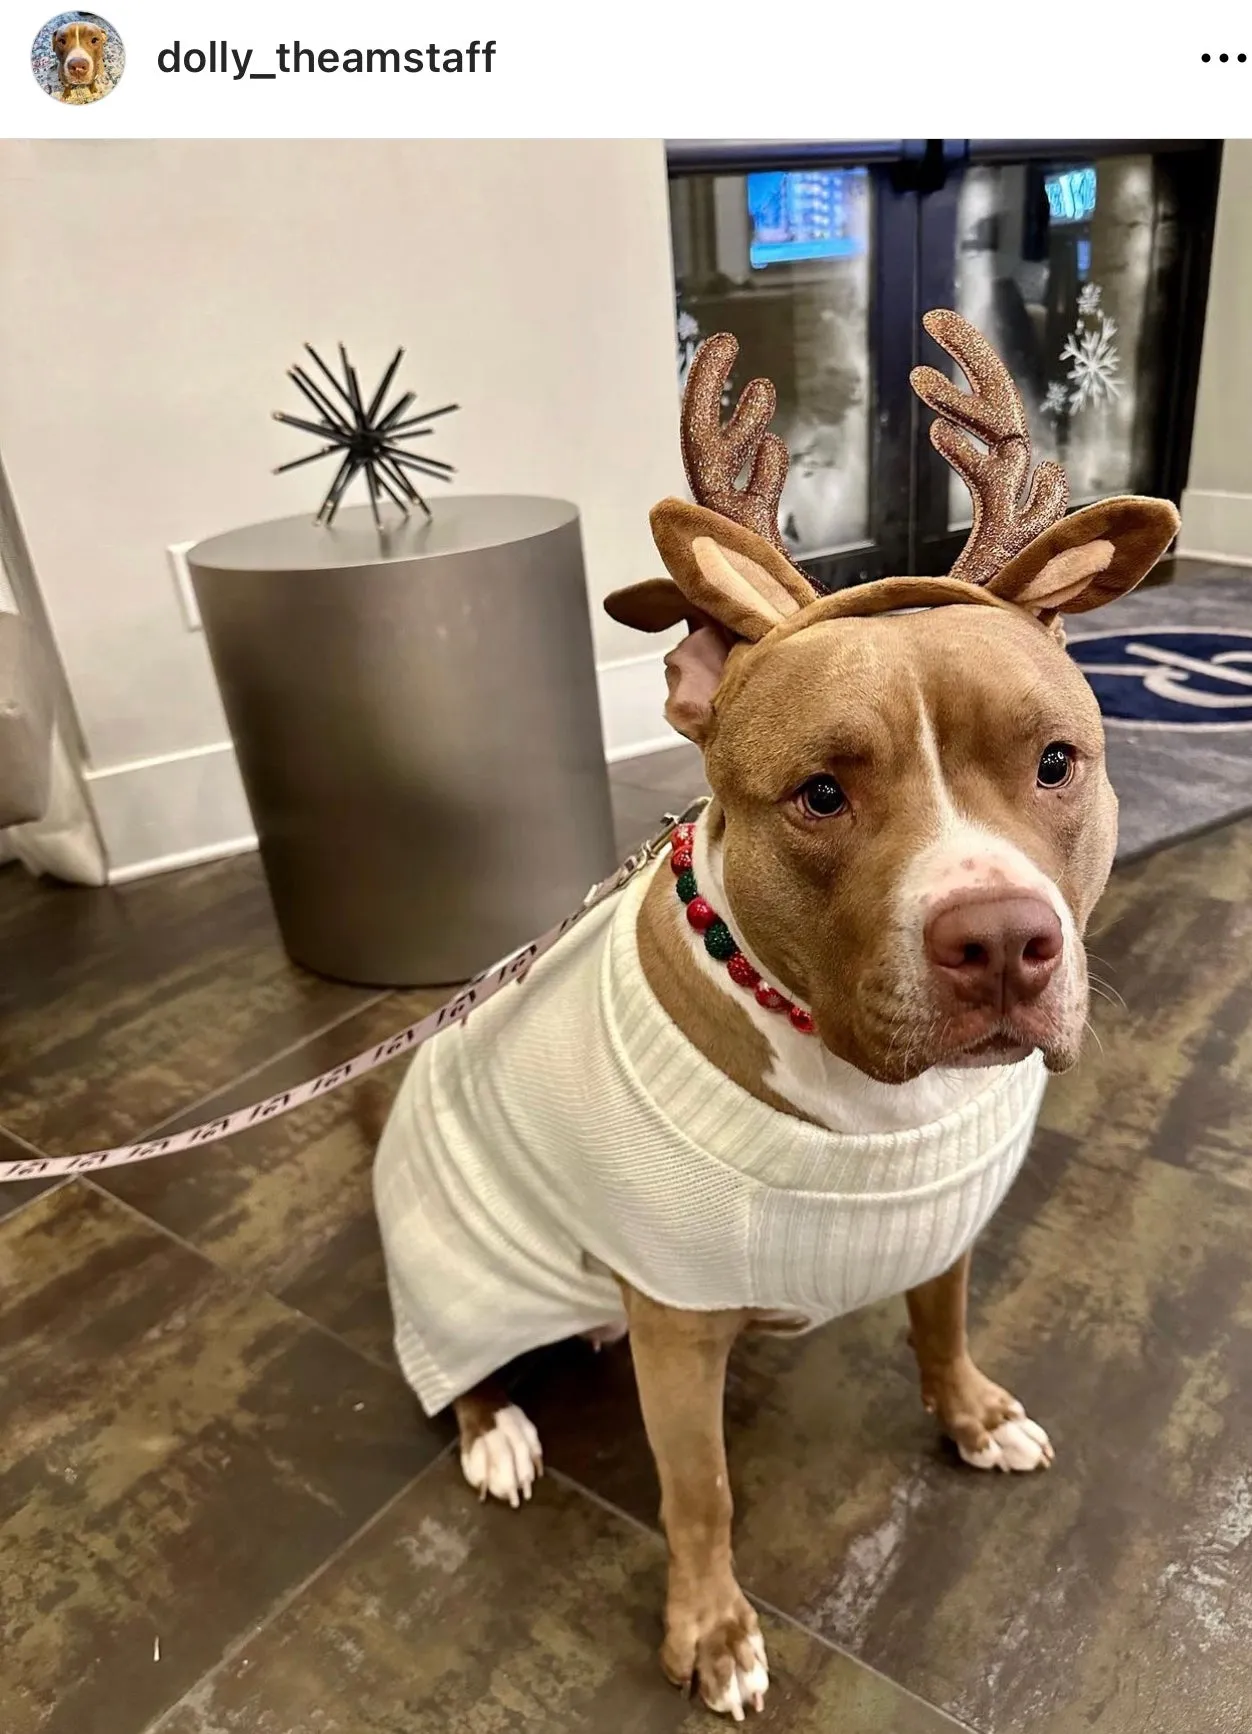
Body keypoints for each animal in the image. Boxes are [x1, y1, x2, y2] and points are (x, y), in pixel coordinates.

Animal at [372, 315, 1179, 1720]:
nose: (1001, 941)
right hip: (456, 1269)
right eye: (819, 795)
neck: (872, 1097)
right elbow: (699, 1492)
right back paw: (497, 1436)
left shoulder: (942, 1229)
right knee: (458, 1371)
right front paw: (711, 1634)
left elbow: (940, 1325)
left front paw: (972, 1416)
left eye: (1055, 763)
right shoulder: (675, 1323)